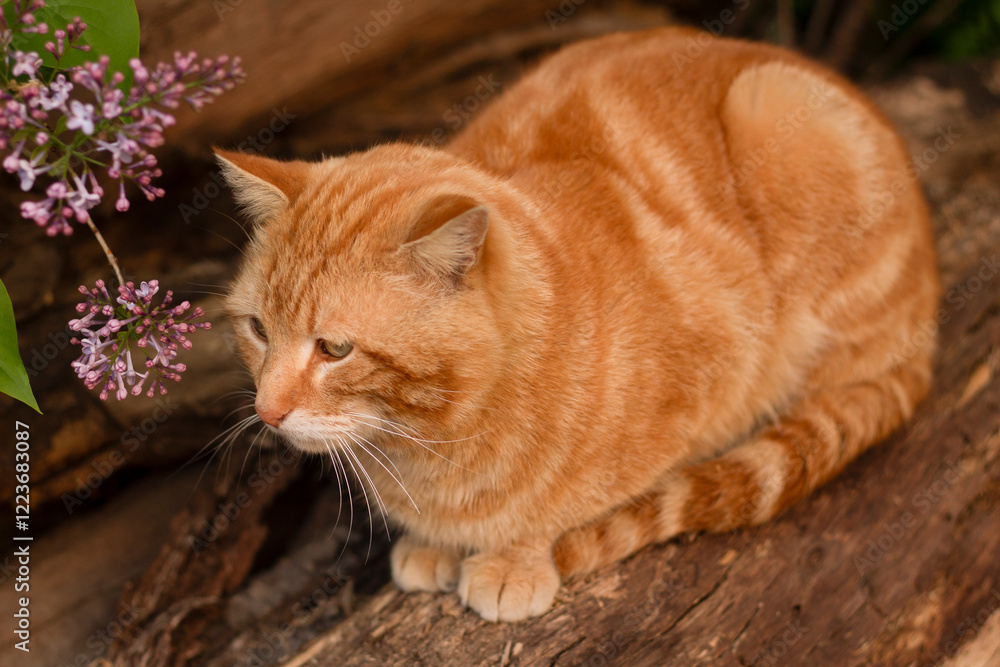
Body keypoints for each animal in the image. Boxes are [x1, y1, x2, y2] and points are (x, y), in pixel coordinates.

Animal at [219, 26, 936, 620]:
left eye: (334, 348)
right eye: (258, 330)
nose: (267, 411)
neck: (433, 441)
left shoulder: (718, 372)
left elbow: (565, 507)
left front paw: (515, 556)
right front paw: (432, 542)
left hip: (782, 121)